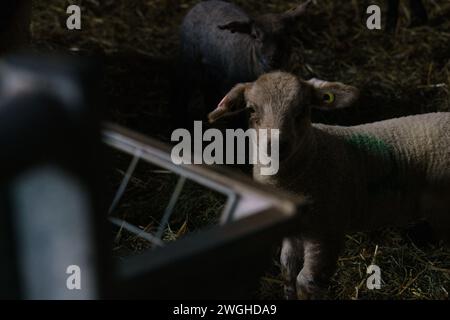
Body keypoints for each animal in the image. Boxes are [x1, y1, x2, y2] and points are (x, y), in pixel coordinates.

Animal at [174, 0, 312, 127]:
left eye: (288, 34)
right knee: (183, 89)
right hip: (189, 61)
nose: (274, 59)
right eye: (255, 36)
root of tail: (202, 3)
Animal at [209, 71, 450, 298]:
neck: (312, 159)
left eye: (303, 109)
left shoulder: (326, 234)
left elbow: (305, 281)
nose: (276, 146)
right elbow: (287, 271)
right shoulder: (294, 234)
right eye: (251, 109)